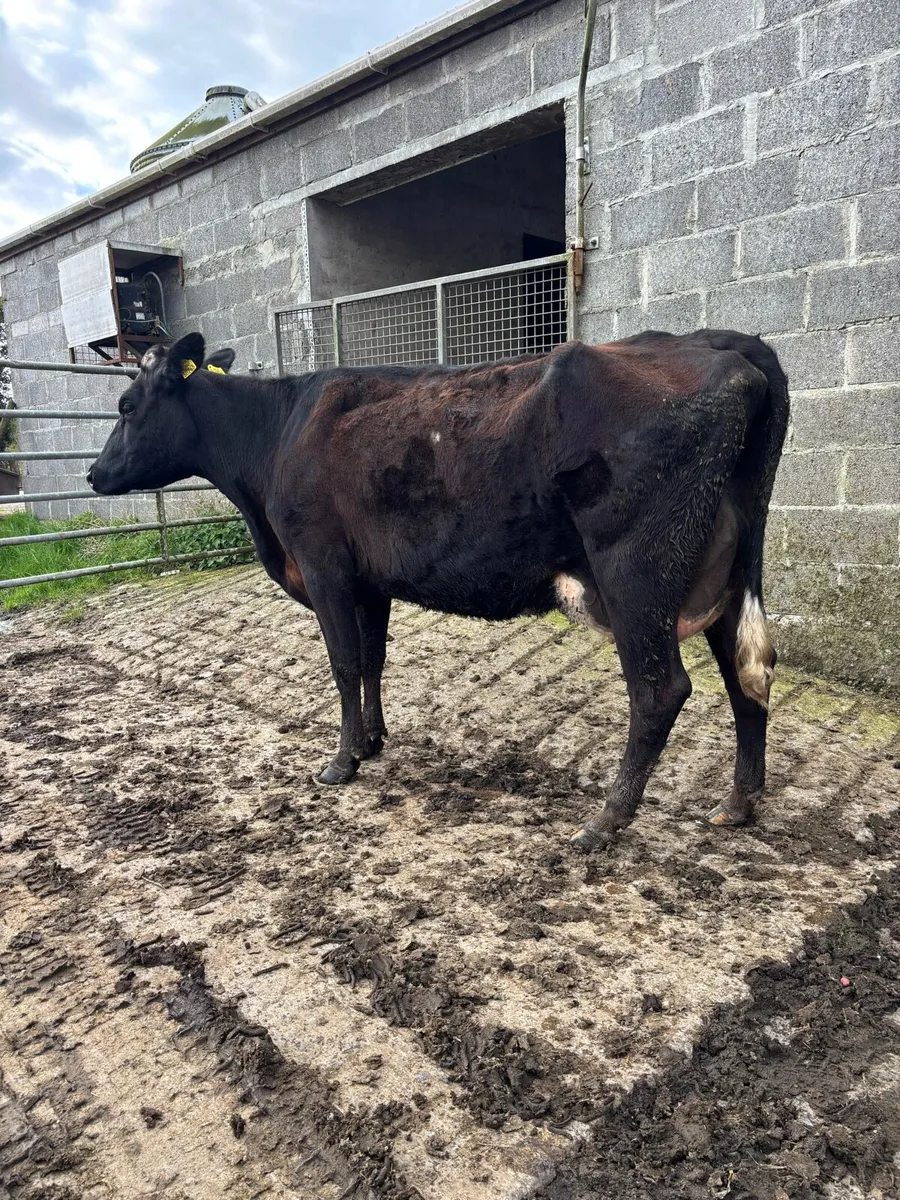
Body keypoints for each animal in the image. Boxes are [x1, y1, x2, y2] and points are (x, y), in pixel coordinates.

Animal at [88, 329, 788, 851]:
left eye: (125, 408)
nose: (93, 475)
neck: (275, 435)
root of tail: (723, 344)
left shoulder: (323, 564)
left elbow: (343, 662)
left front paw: (341, 762)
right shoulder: (369, 581)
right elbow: (372, 659)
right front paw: (371, 741)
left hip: (636, 575)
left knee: (660, 691)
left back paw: (607, 820)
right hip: (724, 573)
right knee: (747, 674)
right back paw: (738, 804)